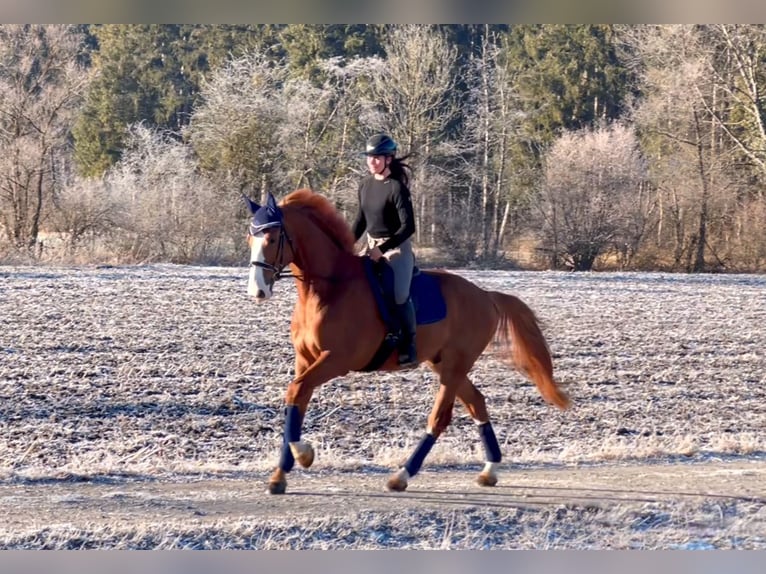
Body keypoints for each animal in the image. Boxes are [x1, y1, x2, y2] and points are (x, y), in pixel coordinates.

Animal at [246, 189, 568, 496]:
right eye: (251, 238)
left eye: (272, 238)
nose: (257, 291)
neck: (328, 289)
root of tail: (486, 295)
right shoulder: (305, 360)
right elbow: (296, 400)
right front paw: (280, 476)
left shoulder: (336, 360)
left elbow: (296, 390)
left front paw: (303, 455)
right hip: (444, 364)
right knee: (477, 402)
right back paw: (489, 471)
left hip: (455, 366)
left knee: (439, 418)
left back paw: (401, 476)